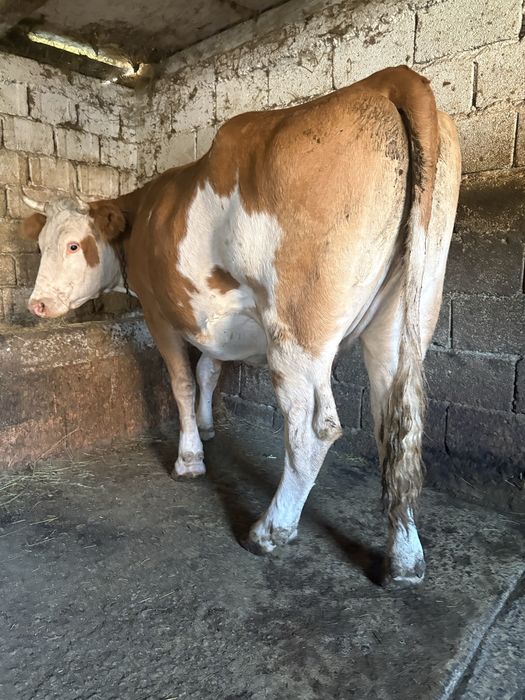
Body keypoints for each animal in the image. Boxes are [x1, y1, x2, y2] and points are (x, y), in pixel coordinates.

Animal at [21, 66, 461, 584]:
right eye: (40, 244)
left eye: (73, 245)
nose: (37, 304)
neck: (143, 215)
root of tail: (387, 78)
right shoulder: (211, 321)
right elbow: (209, 370)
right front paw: (208, 427)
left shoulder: (159, 312)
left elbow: (182, 382)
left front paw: (189, 457)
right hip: (402, 315)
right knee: (397, 425)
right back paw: (405, 561)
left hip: (297, 327)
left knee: (312, 430)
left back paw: (269, 531)